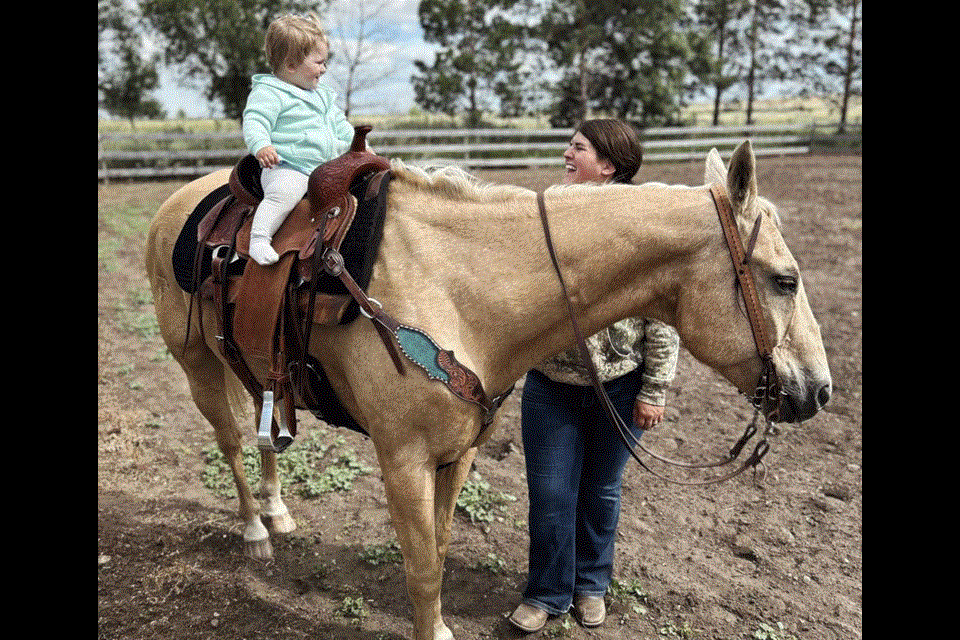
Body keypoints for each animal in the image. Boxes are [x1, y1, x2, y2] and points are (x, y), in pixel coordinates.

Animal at [144, 141, 832, 640]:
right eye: (786, 279)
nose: (820, 391)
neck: (458, 290)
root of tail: (179, 202)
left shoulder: (462, 450)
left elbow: (440, 545)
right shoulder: (403, 459)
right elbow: (421, 564)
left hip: (259, 371)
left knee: (265, 440)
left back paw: (277, 513)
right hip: (197, 365)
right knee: (233, 444)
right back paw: (254, 531)